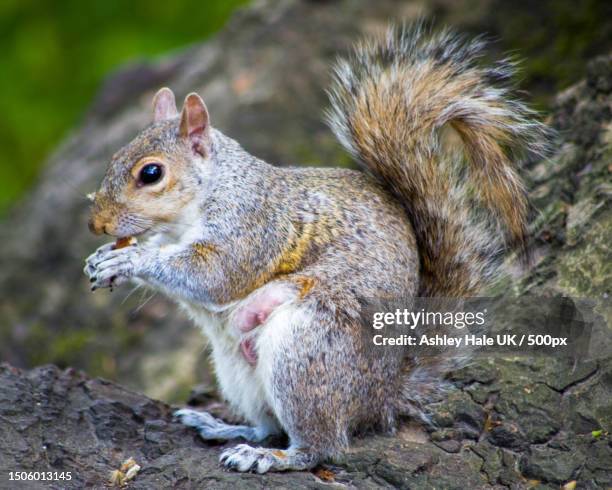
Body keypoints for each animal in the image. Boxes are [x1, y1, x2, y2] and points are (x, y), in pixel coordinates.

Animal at [83, 23, 548, 474]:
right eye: (114, 157)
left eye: (151, 173)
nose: (96, 224)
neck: (194, 208)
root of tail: (380, 398)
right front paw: (103, 259)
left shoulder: (254, 226)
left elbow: (215, 276)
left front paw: (132, 257)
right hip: (236, 370)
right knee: (268, 425)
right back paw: (224, 427)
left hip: (304, 354)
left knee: (322, 446)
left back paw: (273, 457)